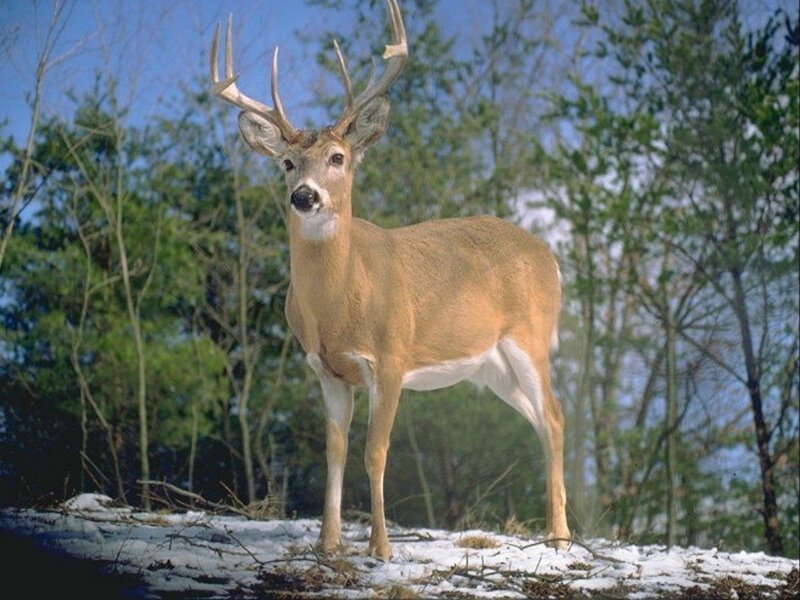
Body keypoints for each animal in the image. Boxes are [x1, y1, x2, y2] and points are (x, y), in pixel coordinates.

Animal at [210, 0, 570, 561]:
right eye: (287, 162)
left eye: (338, 158)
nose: (304, 196)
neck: (338, 304)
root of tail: (550, 257)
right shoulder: (325, 369)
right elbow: (335, 451)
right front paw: (328, 543)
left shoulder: (392, 357)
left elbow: (375, 452)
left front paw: (380, 547)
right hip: (491, 367)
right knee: (540, 418)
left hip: (529, 338)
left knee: (554, 417)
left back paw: (561, 537)